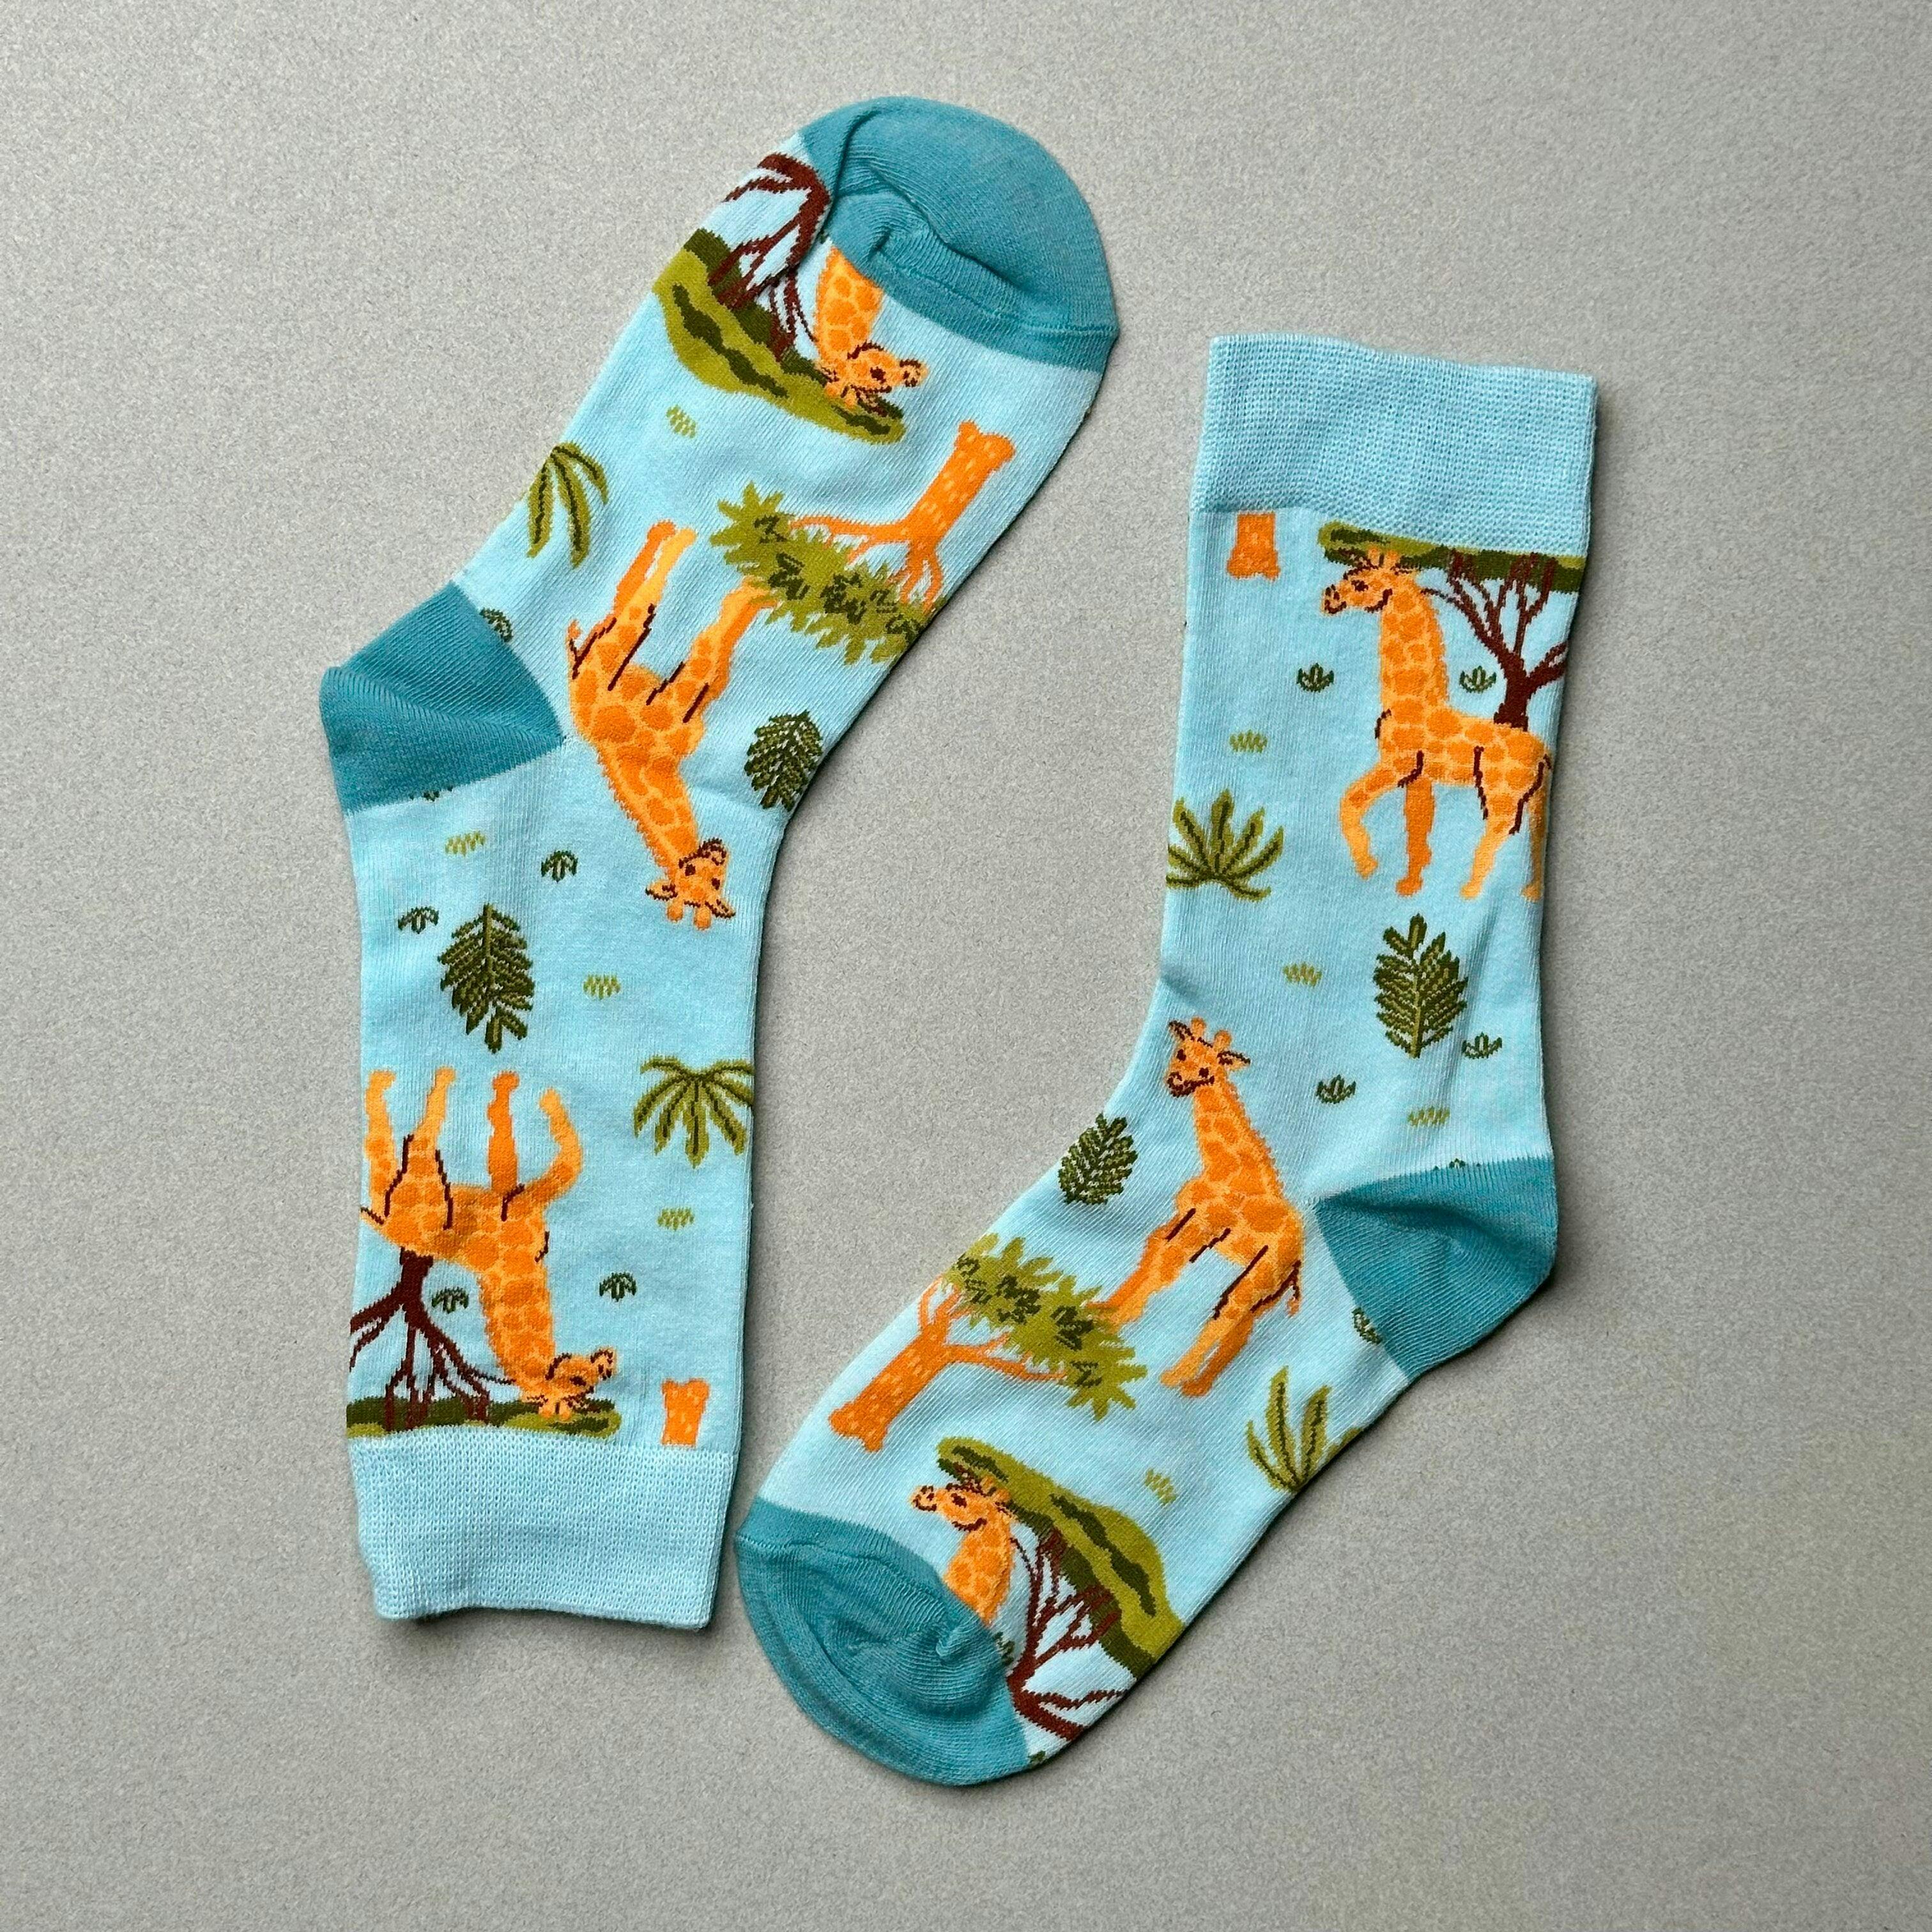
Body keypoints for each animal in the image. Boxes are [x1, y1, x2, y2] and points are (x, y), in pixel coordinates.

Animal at [362, 1068, 616, 1419]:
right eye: (580, 1377)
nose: (604, 1366)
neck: (540, 1371)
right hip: (490, 1203)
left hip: (420, 1208)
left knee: (406, 1152)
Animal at [567, 523, 774, 928]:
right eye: (691, 872)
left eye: (717, 880)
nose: (717, 850)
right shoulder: (678, 706)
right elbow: (709, 651)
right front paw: (753, 594)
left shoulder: (693, 713)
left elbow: (719, 658)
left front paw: (756, 595)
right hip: (613, 651)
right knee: (641, 603)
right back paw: (680, 538)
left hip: (606, 641)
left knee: (626, 594)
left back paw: (665, 532)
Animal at [1101, 1019, 1304, 1397]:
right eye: (1181, 1052)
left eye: (1208, 1071)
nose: (1177, 1082)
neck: (1221, 1165)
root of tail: (1300, 1258)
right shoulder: (1184, 1213)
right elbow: (1155, 1252)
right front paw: (1104, 1310)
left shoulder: (1208, 1223)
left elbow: (1166, 1267)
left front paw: (1117, 1322)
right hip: (1266, 1294)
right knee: (1240, 1332)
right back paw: (1196, 1387)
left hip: (1259, 1276)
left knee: (1225, 1316)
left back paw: (1174, 1377)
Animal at [1323, 547, 1552, 900]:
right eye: (1348, 574)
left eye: (1361, 584)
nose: (1329, 598)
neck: (1411, 700)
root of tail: (1543, 753)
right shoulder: (1420, 776)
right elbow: (1416, 828)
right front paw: (1411, 883)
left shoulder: (1399, 763)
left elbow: (1350, 802)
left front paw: (1368, 865)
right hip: (1535, 797)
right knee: (1535, 834)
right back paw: (1528, 890)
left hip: (1499, 791)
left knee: (1501, 829)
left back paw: (1470, 890)